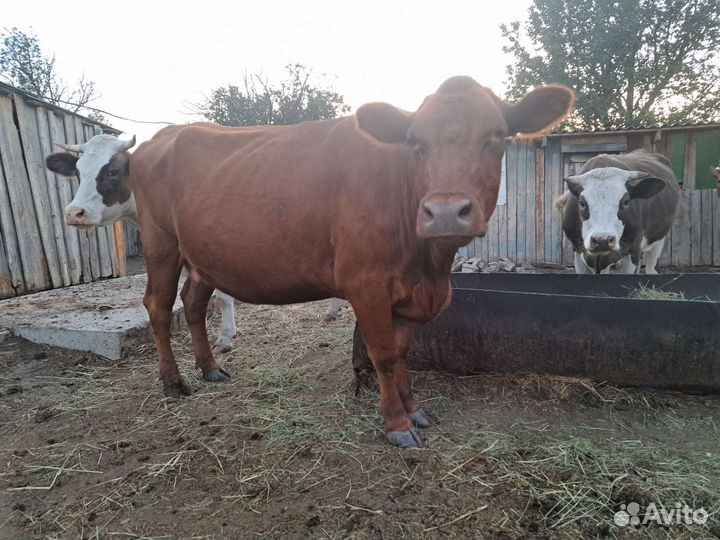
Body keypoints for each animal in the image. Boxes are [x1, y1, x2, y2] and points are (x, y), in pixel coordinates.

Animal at [49, 77, 573, 447]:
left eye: (498, 136)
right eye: (416, 143)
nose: (445, 211)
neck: (430, 267)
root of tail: (166, 137)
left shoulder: (408, 293)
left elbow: (403, 352)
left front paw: (414, 408)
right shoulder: (366, 283)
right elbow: (384, 355)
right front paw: (396, 424)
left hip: (204, 257)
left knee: (193, 304)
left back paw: (210, 367)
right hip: (162, 244)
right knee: (159, 306)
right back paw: (174, 382)